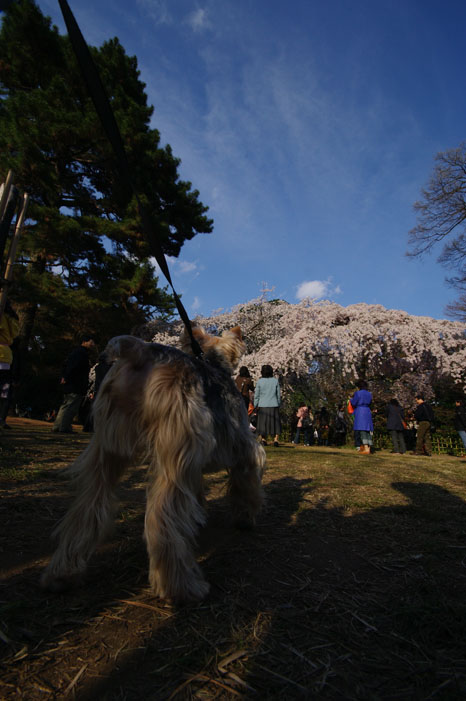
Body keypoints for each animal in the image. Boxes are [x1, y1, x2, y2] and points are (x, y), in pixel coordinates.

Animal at [41, 326, 266, 600]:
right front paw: (246, 518)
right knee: (161, 515)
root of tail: (141, 350)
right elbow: (248, 482)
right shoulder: (244, 447)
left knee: (87, 507)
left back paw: (62, 574)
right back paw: (180, 586)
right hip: (177, 446)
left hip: (107, 445)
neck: (214, 364)